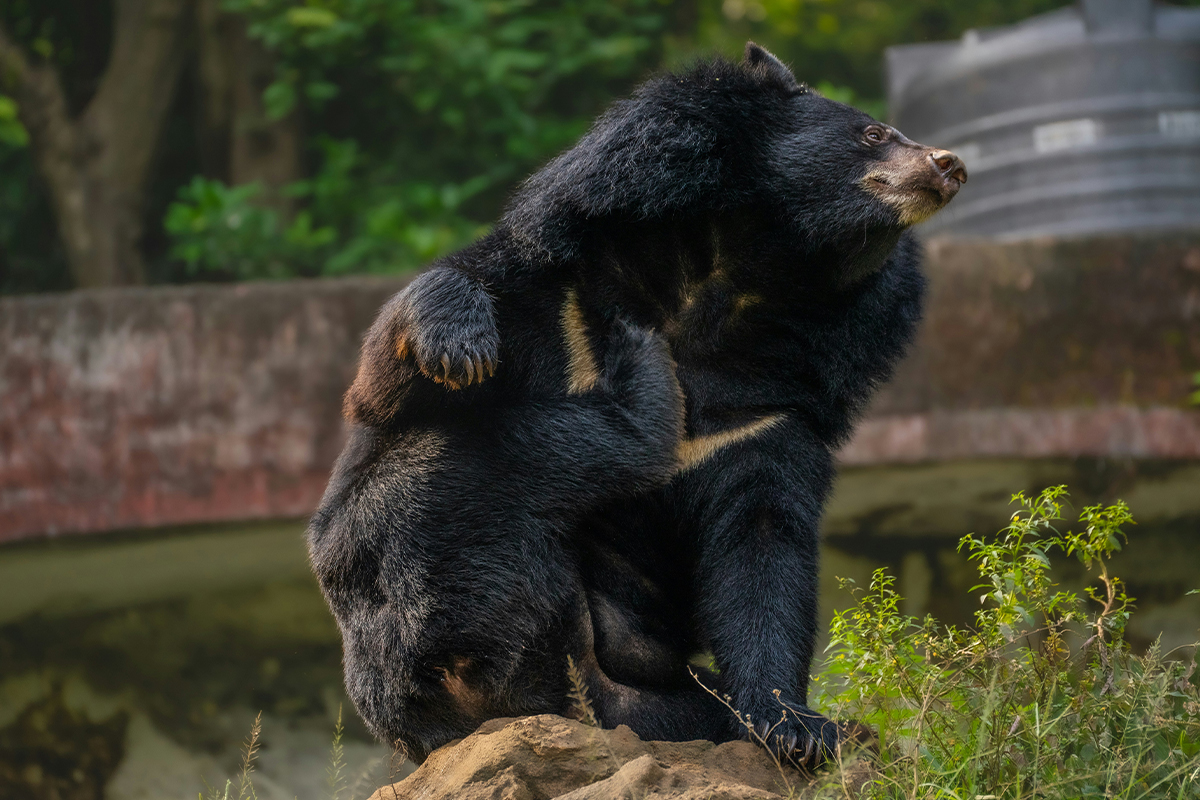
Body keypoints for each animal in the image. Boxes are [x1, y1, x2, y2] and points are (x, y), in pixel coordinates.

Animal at [312, 42, 966, 767]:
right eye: (873, 133)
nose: (951, 164)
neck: (730, 274)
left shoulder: (768, 413)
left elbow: (762, 551)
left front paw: (797, 729)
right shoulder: (558, 286)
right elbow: (386, 382)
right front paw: (459, 350)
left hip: (649, 705)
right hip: (392, 605)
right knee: (452, 477)